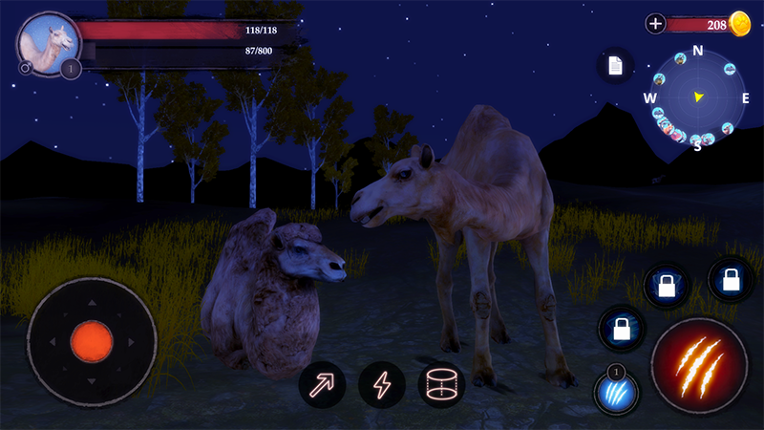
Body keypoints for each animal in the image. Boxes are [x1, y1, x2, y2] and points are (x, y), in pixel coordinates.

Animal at [350, 105, 578, 388]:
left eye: (404, 173)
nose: (356, 200)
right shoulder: (473, 231)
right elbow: (480, 299)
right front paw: (483, 372)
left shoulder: (538, 231)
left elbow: (547, 299)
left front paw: (561, 372)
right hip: (444, 230)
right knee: (445, 277)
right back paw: (450, 340)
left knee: (490, 276)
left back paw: (500, 333)